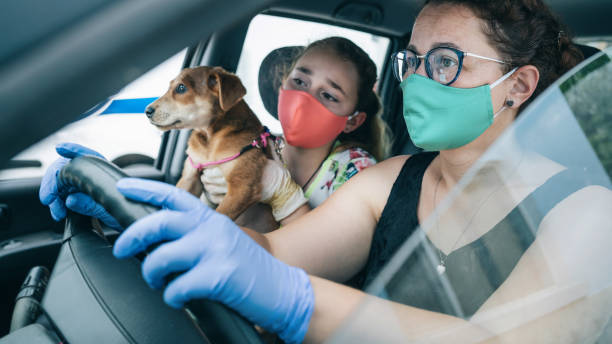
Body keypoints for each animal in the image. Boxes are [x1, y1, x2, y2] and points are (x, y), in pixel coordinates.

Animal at [145, 66, 268, 219]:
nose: (147, 111)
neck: (210, 139)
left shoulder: (243, 187)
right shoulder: (189, 177)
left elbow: (221, 215)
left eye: (181, 88)